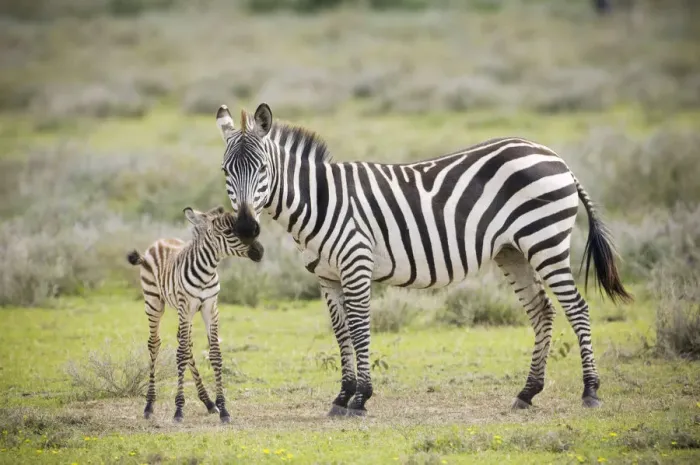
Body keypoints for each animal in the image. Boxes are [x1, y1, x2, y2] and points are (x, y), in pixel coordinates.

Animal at [126, 205, 264, 423]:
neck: (207, 272)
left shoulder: (210, 307)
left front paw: (222, 408)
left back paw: (208, 402)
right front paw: (178, 410)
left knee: (185, 342)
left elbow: (214, 354)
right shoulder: (186, 306)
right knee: (155, 344)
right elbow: (181, 354)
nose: (260, 251)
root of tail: (160, 241)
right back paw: (149, 405)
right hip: (154, 302)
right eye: (229, 232)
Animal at [214, 102, 632, 416]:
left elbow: (360, 329)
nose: (247, 228)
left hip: (545, 241)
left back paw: (590, 391)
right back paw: (527, 392)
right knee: (542, 311)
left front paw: (361, 398)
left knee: (577, 308)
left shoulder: (356, 265)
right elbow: (342, 333)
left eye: (263, 169)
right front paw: (342, 396)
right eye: (225, 171)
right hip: (512, 251)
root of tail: (554, 156)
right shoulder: (327, 277)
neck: (319, 200)